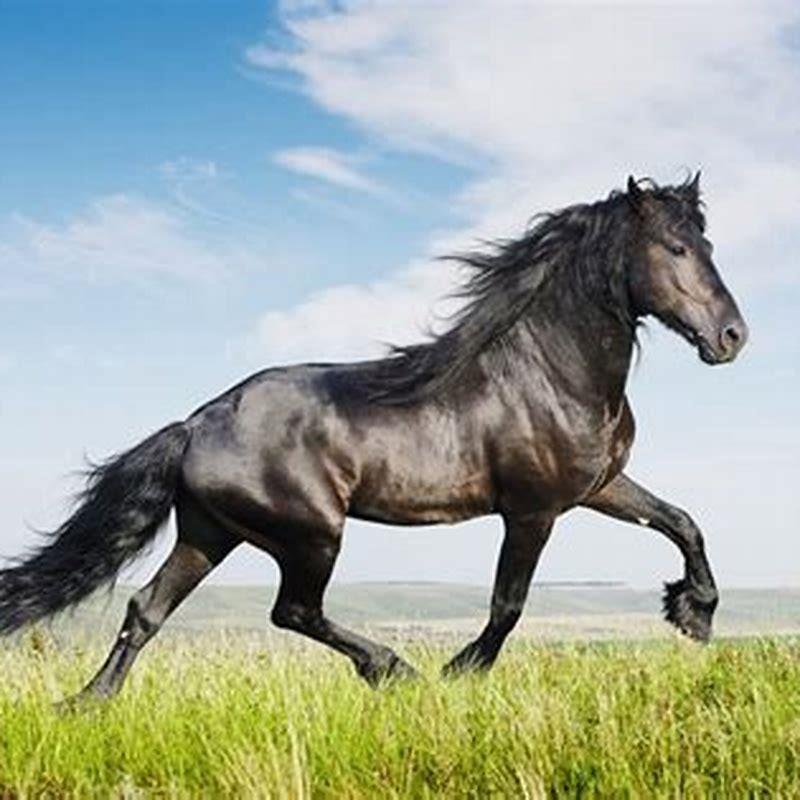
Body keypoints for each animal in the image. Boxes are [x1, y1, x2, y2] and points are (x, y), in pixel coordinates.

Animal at [0, 174, 748, 701]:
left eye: (710, 246)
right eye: (676, 249)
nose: (732, 336)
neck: (549, 372)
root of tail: (196, 424)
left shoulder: (598, 486)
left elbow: (683, 522)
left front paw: (694, 615)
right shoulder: (533, 509)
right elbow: (508, 603)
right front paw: (460, 672)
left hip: (210, 533)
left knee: (147, 609)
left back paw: (87, 704)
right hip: (310, 535)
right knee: (293, 611)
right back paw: (395, 670)